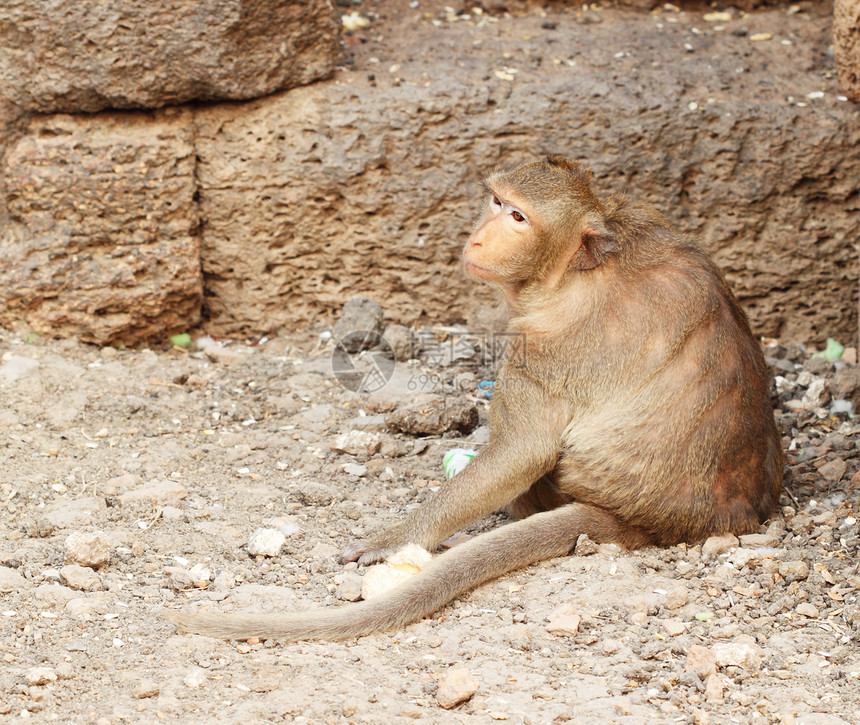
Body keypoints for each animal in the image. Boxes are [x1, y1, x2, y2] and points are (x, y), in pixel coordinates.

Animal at [165, 154, 784, 640]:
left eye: (519, 216)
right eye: (495, 201)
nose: (480, 236)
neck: (576, 269)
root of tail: (671, 524)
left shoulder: (544, 347)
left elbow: (521, 454)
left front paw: (400, 537)